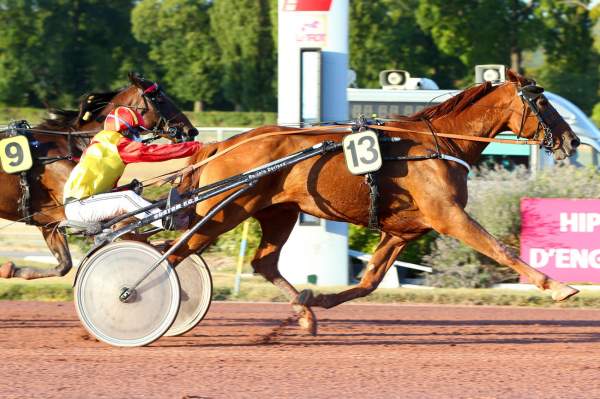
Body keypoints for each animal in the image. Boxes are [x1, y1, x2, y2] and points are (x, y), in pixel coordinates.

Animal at [0, 73, 197, 280]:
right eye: (158, 98)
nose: (190, 131)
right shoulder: (73, 211)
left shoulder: (48, 221)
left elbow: (64, 265)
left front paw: (12, 269)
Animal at [169, 69, 580, 334]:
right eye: (542, 101)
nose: (572, 140)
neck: (440, 144)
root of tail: (224, 144)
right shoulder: (448, 216)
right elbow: (500, 249)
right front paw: (557, 286)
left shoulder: (403, 231)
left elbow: (369, 281)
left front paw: (318, 300)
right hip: (225, 211)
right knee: (175, 253)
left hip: (278, 212)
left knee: (263, 262)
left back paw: (304, 311)